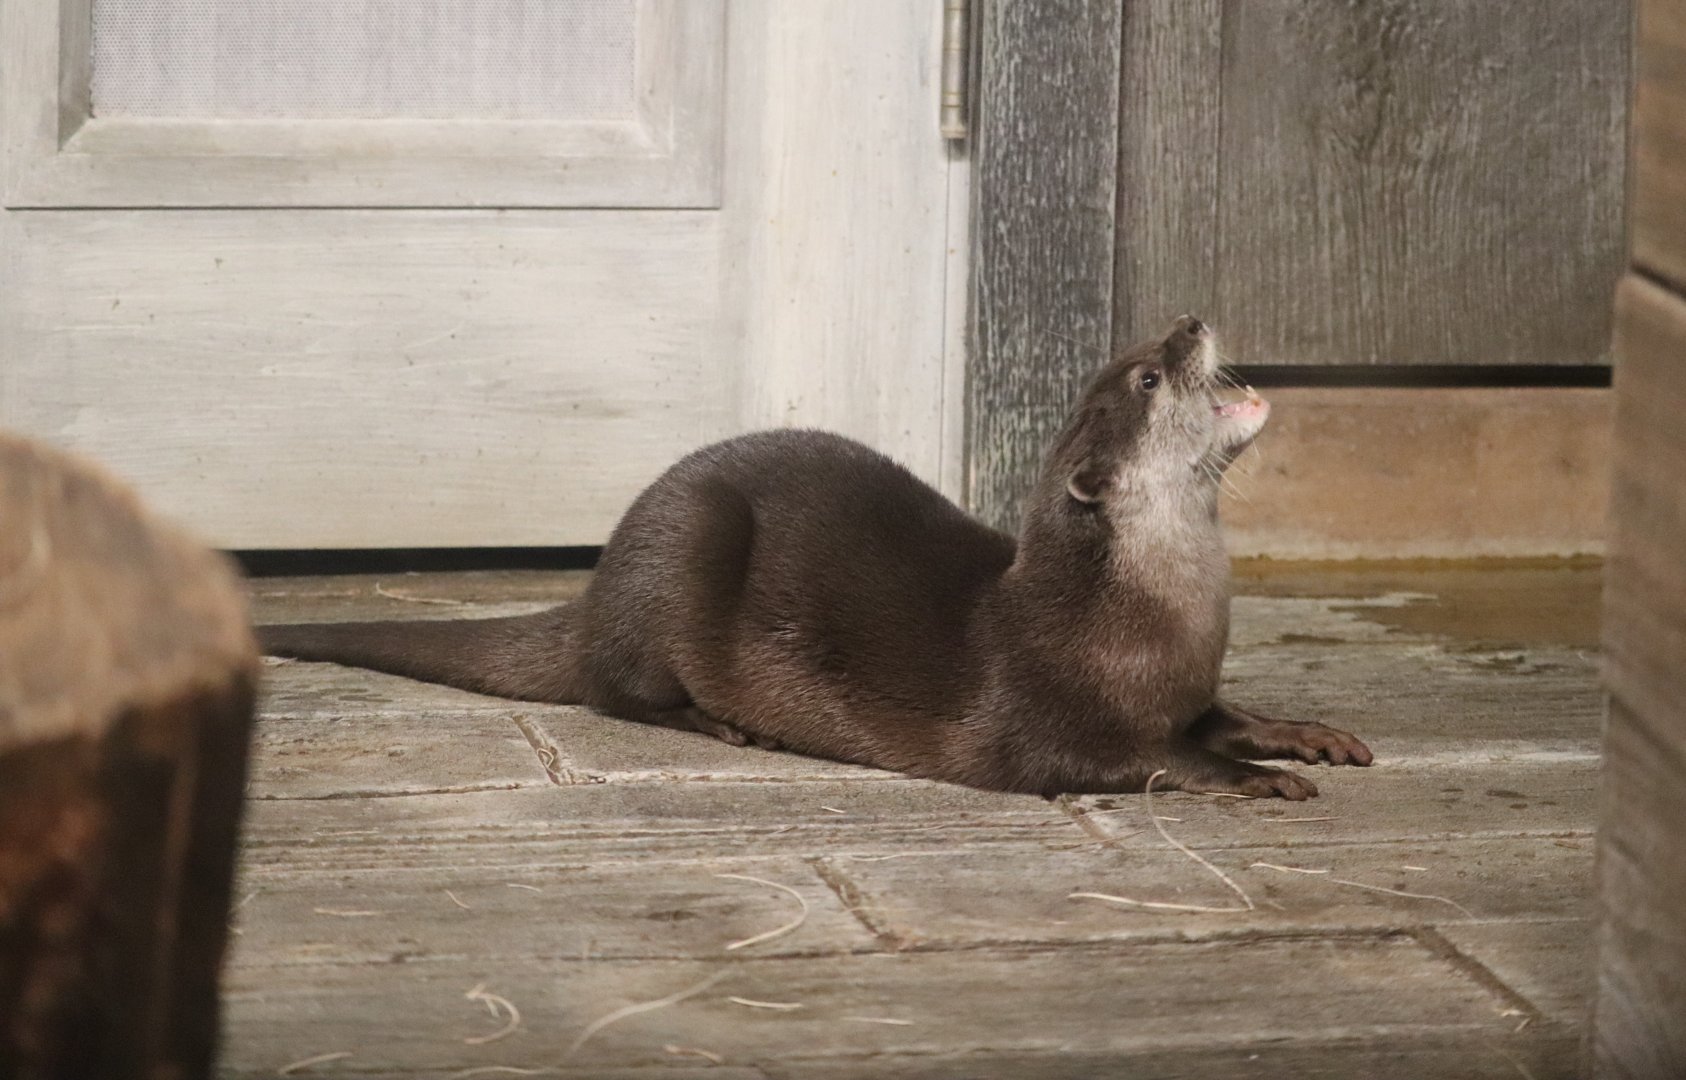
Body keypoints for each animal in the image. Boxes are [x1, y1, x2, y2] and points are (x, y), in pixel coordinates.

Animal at [261, 316, 1371, 799]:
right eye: (1149, 375)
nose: (1191, 320)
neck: (1149, 617)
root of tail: (600, 579)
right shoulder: (1047, 717)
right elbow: (1137, 759)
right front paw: (1254, 780)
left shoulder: (1188, 684)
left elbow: (1219, 718)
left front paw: (1302, 735)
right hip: (685, 543)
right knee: (615, 689)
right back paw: (727, 725)